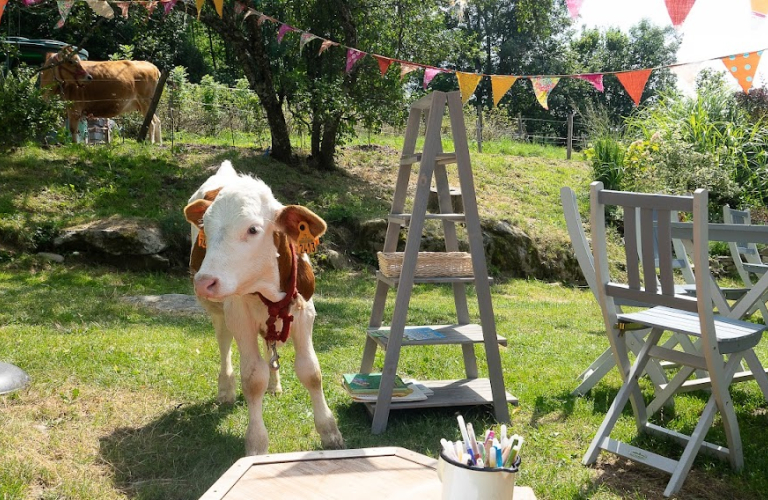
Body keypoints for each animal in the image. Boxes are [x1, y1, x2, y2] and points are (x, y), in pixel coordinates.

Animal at [183, 162, 342, 456]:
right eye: (205, 228)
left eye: (253, 229)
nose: (203, 281)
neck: (267, 287)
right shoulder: (239, 316)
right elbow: (253, 378)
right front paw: (256, 444)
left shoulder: (305, 313)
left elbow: (311, 371)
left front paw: (330, 432)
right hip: (217, 311)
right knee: (224, 343)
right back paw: (226, 389)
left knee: (270, 346)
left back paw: (275, 385)